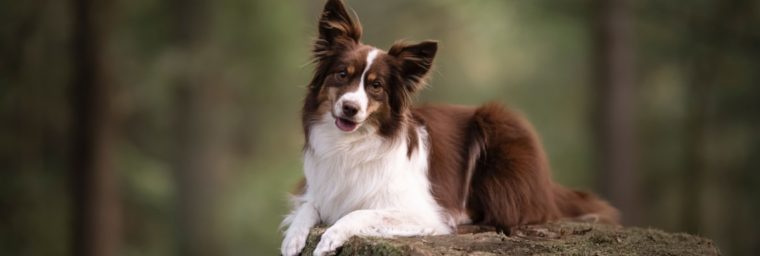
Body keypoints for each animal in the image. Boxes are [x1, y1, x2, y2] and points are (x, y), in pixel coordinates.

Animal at [282, 1, 620, 255]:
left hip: (499, 127)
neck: (352, 143)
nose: (349, 108)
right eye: (342, 74)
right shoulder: (319, 189)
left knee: (513, 212)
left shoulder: (421, 211)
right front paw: (293, 238)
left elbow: (359, 212)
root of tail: (548, 185)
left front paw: (330, 237)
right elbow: (307, 207)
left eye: (376, 86)